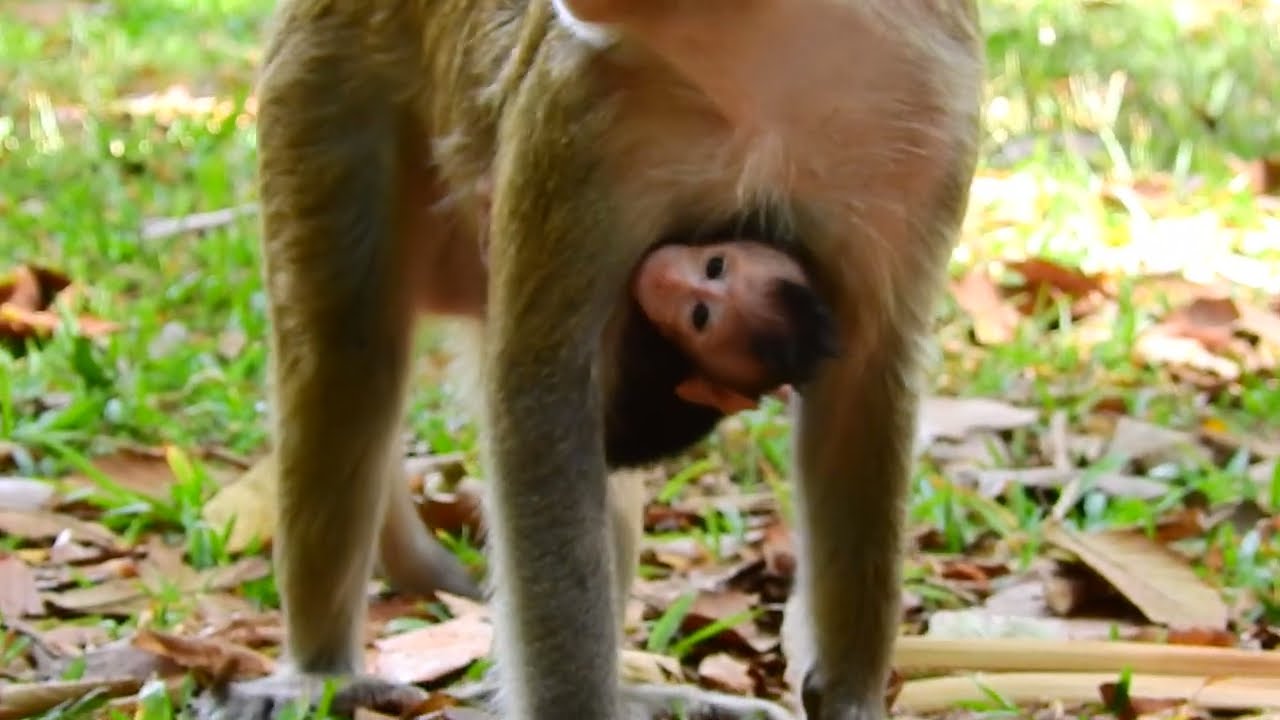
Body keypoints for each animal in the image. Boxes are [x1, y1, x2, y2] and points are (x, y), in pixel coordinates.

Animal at [196, 0, 984, 718]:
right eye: (712, 271)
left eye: (711, 293)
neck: (764, 47)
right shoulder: (580, 108)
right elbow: (540, 400)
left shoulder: (926, 119)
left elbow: (861, 388)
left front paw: (851, 697)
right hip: (324, 73)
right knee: (348, 359)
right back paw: (320, 674)